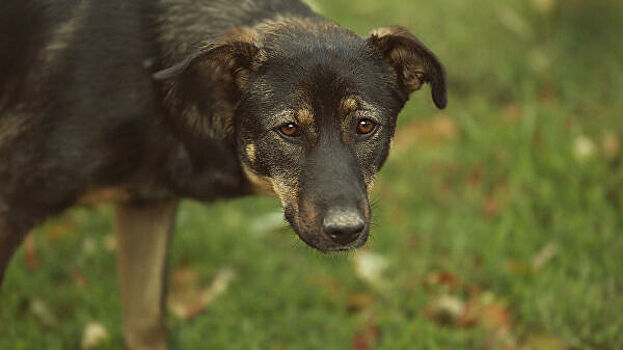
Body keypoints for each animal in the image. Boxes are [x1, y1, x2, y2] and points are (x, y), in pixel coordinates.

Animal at [1, 0, 448, 348]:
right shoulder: (11, 205)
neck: (153, 73)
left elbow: (145, 326)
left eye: (365, 126)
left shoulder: (147, 206)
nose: (345, 231)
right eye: (289, 129)